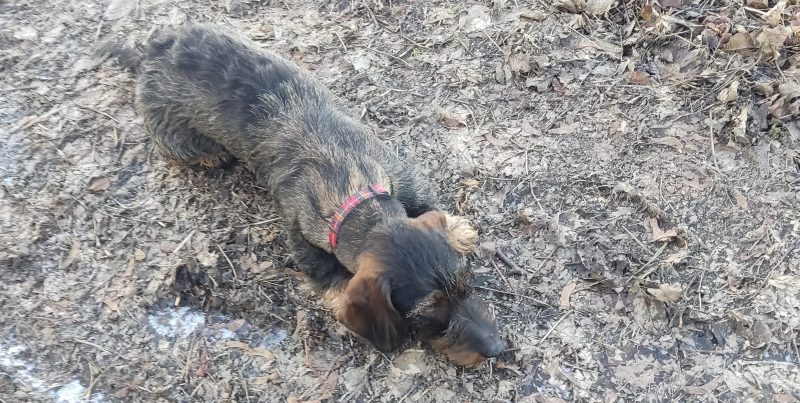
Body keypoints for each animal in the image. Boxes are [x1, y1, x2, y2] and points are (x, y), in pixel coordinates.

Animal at [98, 23, 500, 368]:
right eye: (429, 314)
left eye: (465, 283)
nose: (498, 348)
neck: (352, 194)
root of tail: (149, 52)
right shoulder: (307, 248)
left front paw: (457, 230)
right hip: (182, 144)